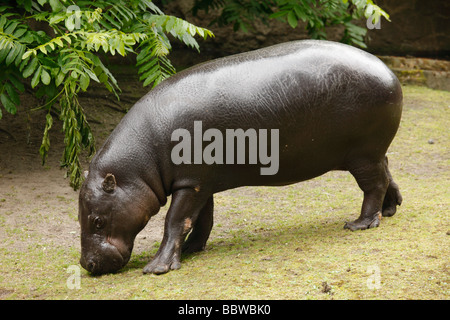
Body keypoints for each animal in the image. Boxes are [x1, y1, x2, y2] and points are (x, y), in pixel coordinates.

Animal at [78, 40, 404, 276]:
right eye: (80, 215)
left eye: (97, 221)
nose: (86, 265)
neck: (138, 168)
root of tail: (388, 71)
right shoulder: (200, 182)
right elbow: (201, 219)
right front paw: (193, 249)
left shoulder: (189, 184)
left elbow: (175, 220)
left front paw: (157, 268)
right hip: (370, 153)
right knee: (387, 173)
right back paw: (390, 210)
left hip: (362, 154)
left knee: (373, 185)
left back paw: (360, 224)